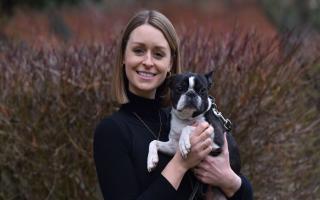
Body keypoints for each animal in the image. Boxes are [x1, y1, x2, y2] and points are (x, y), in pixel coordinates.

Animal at [147, 71, 240, 199]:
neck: (187, 118)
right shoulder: (173, 146)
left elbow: (189, 128)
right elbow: (153, 142)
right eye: (179, 88)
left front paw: (184, 143)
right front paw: (151, 160)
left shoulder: (217, 139)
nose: (191, 93)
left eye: (202, 90)